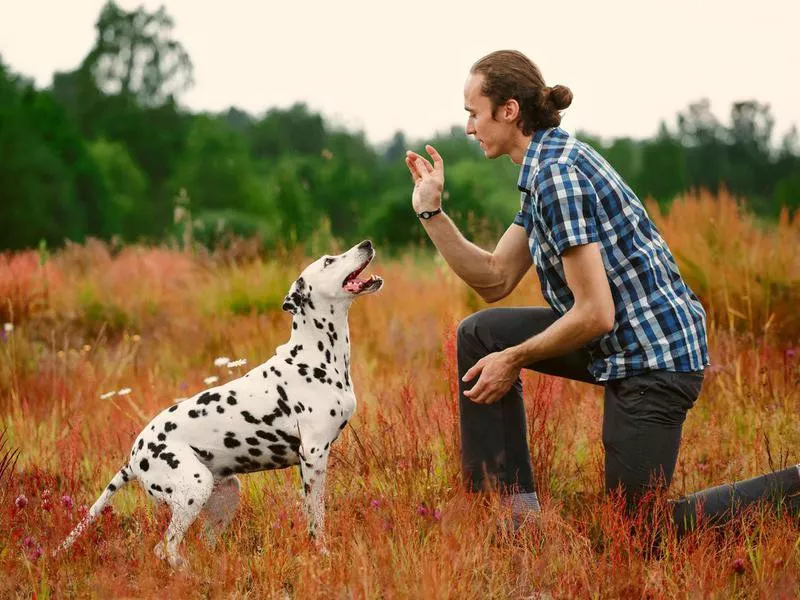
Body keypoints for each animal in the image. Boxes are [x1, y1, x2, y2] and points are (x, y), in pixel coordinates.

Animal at [54, 239, 382, 568]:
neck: (316, 354)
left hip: (225, 495)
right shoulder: (313, 456)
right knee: (165, 548)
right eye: (328, 261)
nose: (366, 243)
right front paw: (321, 553)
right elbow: (317, 518)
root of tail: (134, 458)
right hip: (193, 490)